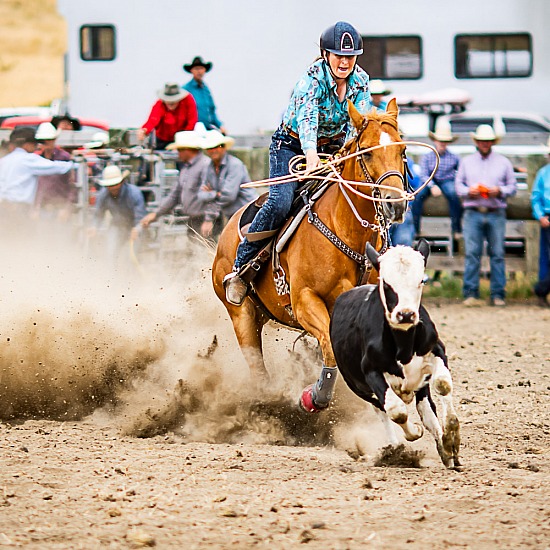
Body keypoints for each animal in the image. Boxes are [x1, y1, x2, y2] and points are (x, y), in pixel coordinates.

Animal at [211, 98, 410, 410]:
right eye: (366, 154)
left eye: (402, 151)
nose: (396, 205)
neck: (346, 230)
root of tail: (228, 229)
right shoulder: (305, 300)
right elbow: (329, 348)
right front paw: (314, 397)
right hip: (241, 316)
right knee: (257, 368)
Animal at [332, 243, 462, 470]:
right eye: (386, 283)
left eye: (421, 280)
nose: (406, 314)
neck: (404, 344)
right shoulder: (371, 371)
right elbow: (396, 411)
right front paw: (414, 433)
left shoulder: (437, 350)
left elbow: (443, 384)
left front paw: (451, 440)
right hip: (358, 386)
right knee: (382, 409)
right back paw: (394, 449)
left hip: (419, 385)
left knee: (425, 408)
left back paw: (444, 449)